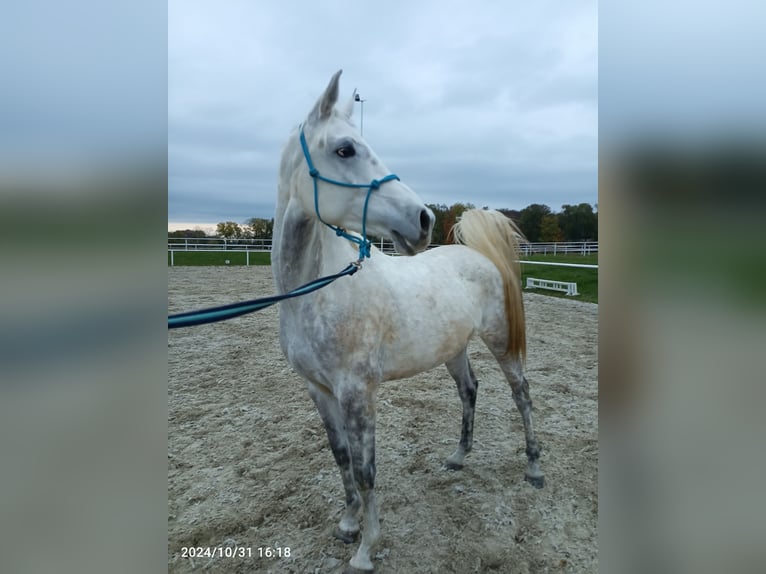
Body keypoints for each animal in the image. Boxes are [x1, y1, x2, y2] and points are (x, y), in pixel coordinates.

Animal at [272, 70, 544, 572]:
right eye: (345, 149)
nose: (423, 219)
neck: (315, 292)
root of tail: (481, 257)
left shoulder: (358, 391)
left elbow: (366, 469)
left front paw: (366, 548)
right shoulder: (319, 390)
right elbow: (341, 458)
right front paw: (348, 523)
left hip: (501, 342)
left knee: (522, 395)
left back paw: (534, 468)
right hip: (454, 348)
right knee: (469, 389)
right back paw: (458, 456)